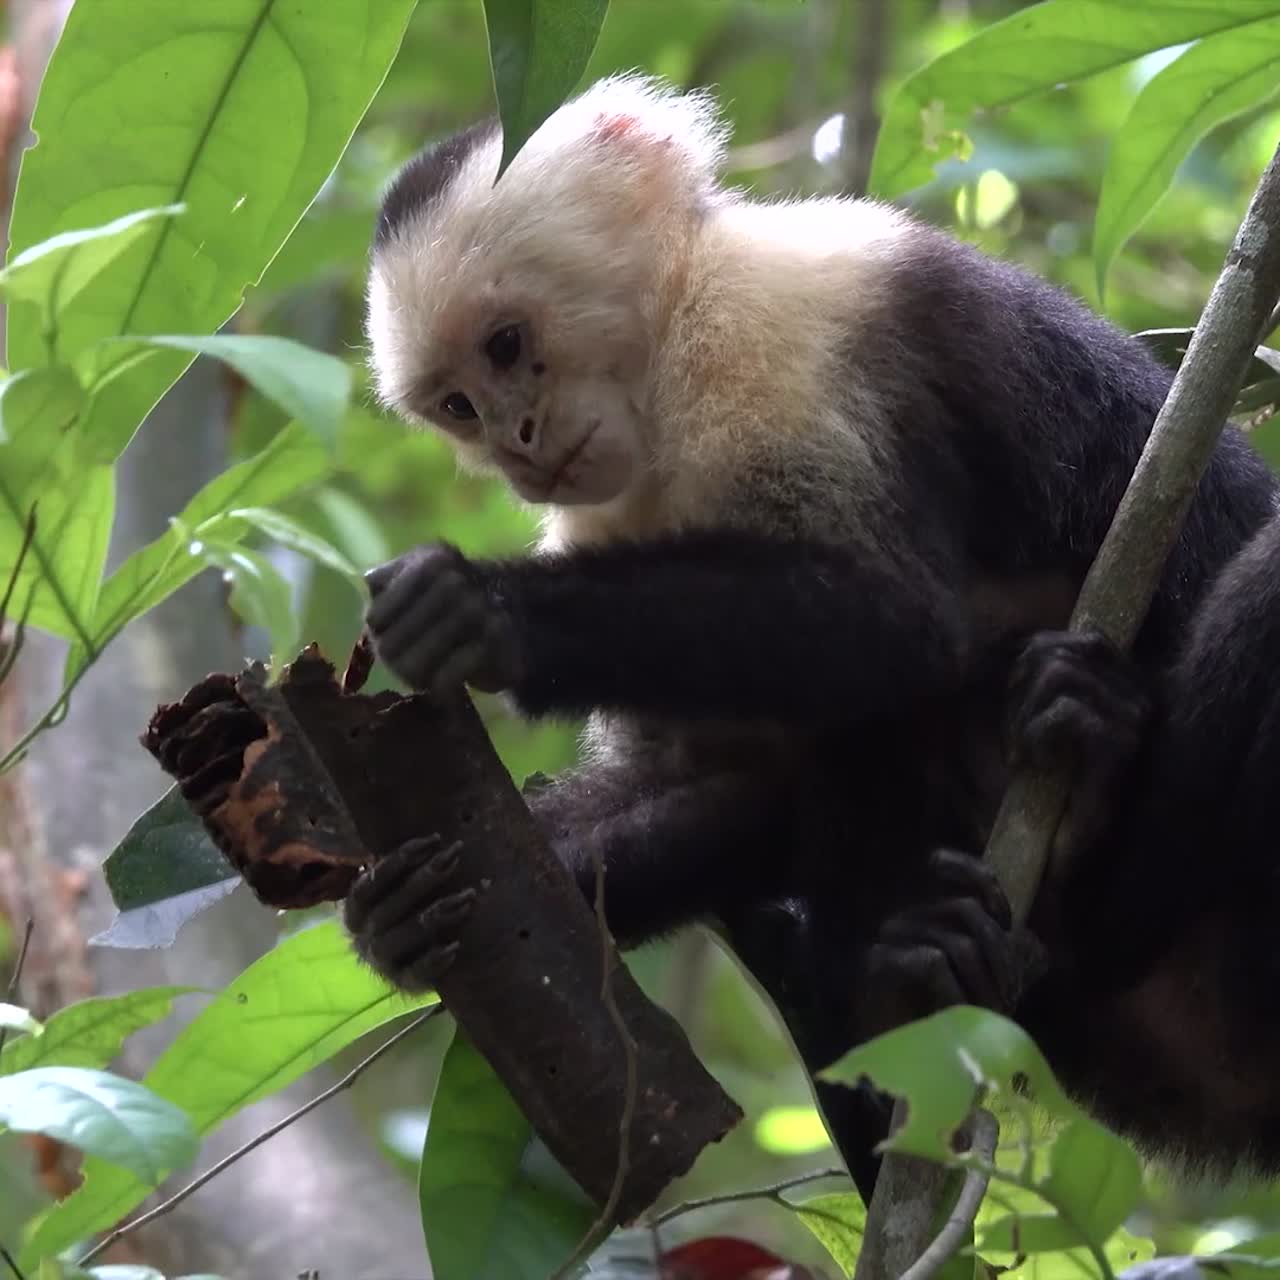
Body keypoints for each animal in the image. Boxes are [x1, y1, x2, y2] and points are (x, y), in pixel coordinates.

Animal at [345, 74, 1280, 1187]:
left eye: (507, 346)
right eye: (458, 405)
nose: (518, 447)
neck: (666, 367)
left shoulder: (774, 324)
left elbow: (898, 616)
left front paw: (486, 611)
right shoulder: (602, 508)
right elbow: (730, 773)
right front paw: (401, 910)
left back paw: (1084, 763)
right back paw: (907, 973)